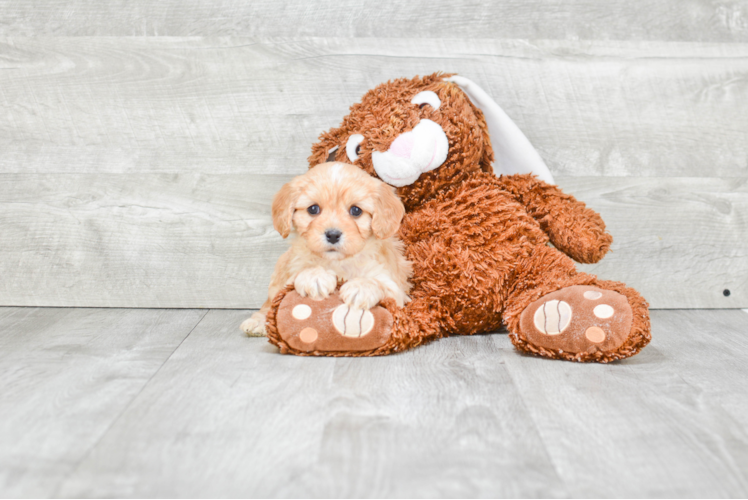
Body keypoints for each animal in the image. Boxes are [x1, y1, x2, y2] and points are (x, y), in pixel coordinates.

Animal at [241, 162, 412, 338]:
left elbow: (379, 283)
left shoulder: (395, 289)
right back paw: (258, 322)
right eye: (313, 209)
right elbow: (301, 273)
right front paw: (314, 277)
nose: (333, 235)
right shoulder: (291, 273)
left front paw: (361, 287)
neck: (337, 262)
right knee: (269, 303)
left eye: (356, 210)